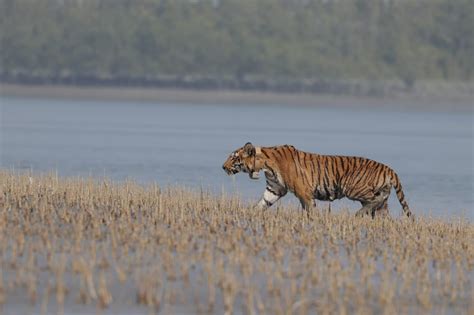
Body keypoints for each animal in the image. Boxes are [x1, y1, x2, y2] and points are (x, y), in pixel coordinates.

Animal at [222, 143, 412, 218]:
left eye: (234, 158)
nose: (223, 167)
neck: (265, 165)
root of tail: (389, 169)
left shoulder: (303, 191)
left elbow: (309, 209)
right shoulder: (274, 189)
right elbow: (261, 204)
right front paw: (248, 214)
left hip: (352, 187)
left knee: (374, 200)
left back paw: (358, 214)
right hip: (379, 198)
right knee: (382, 211)